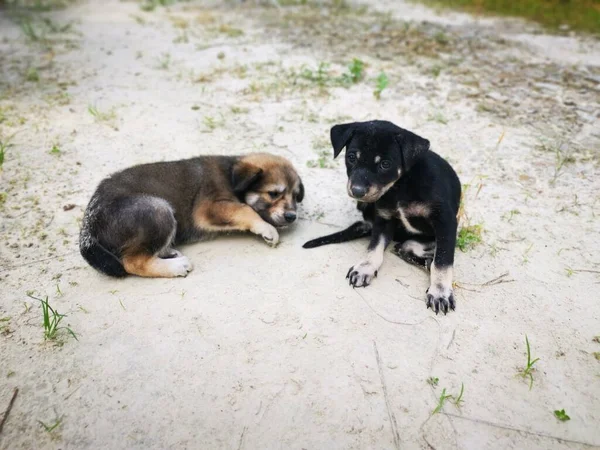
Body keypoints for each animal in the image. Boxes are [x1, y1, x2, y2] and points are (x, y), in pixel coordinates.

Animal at [78, 153, 304, 276]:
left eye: (295, 196)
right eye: (273, 193)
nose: (292, 217)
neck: (231, 175)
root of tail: (89, 228)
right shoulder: (209, 207)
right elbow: (245, 209)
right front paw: (266, 229)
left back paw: (169, 252)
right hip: (158, 209)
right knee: (133, 262)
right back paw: (175, 266)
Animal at [302, 121, 462, 314]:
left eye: (385, 164)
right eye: (351, 157)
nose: (357, 191)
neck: (401, 186)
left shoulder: (445, 222)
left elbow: (443, 260)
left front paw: (440, 292)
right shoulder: (383, 219)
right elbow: (374, 246)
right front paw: (365, 268)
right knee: (404, 247)